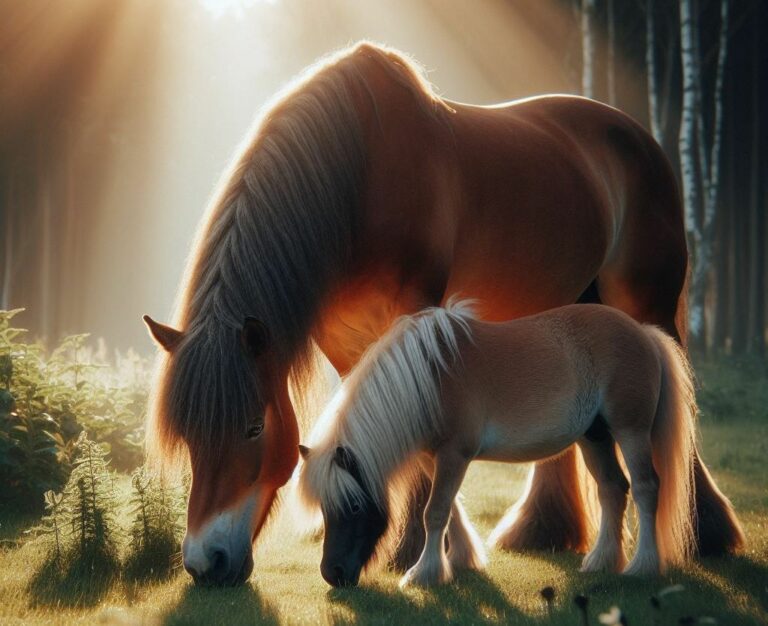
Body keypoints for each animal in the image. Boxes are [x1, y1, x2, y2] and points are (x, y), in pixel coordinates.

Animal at [297, 301, 698, 587]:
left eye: (352, 506)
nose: (332, 574)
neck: (429, 378)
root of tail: (643, 332)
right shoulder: (434, 457)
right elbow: (450, 509)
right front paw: (460, 562)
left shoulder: (454, 454)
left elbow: (435, 512)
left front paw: (422, 574)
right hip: (594, 438)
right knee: (613, 489)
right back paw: (600, 562)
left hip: (631, 431)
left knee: (646, 488)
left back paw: (642, 566)